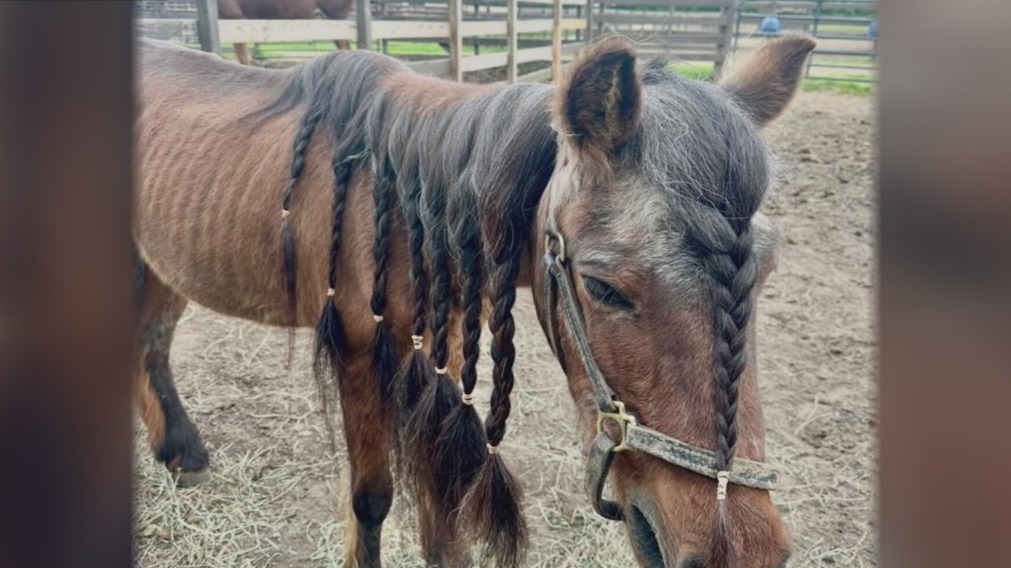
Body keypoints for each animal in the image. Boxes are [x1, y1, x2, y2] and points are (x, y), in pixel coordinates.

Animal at [134, 34, 815, 568]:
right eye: (602, 286)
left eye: (767, 271)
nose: (739, 550)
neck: (404, 202)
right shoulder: (358, 350)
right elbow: (372, 499)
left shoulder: (441, 353)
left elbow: (443, 512)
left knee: (151, 344)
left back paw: (180, 452)